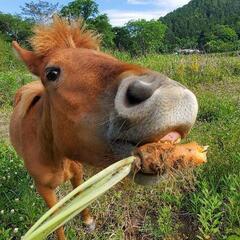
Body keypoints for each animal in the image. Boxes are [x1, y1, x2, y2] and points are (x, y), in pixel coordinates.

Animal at [9, 16, 197, 240]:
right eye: (51, 73)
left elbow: (80, 196)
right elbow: (57, 223)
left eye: (105, 55)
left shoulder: (78, 173)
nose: (173, 96)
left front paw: (88, 222)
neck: (53, 153)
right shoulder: (45, 190)